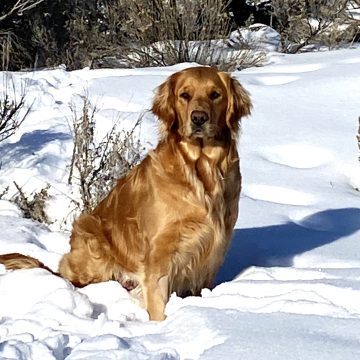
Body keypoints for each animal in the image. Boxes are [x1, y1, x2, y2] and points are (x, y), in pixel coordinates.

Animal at [0, 67, 252, 320]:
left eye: (215, 95)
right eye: (185, 95)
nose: (199, 118)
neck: (202, 170)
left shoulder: (211, 254)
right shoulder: (160, 253)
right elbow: (158, 303)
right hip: (93, 242)